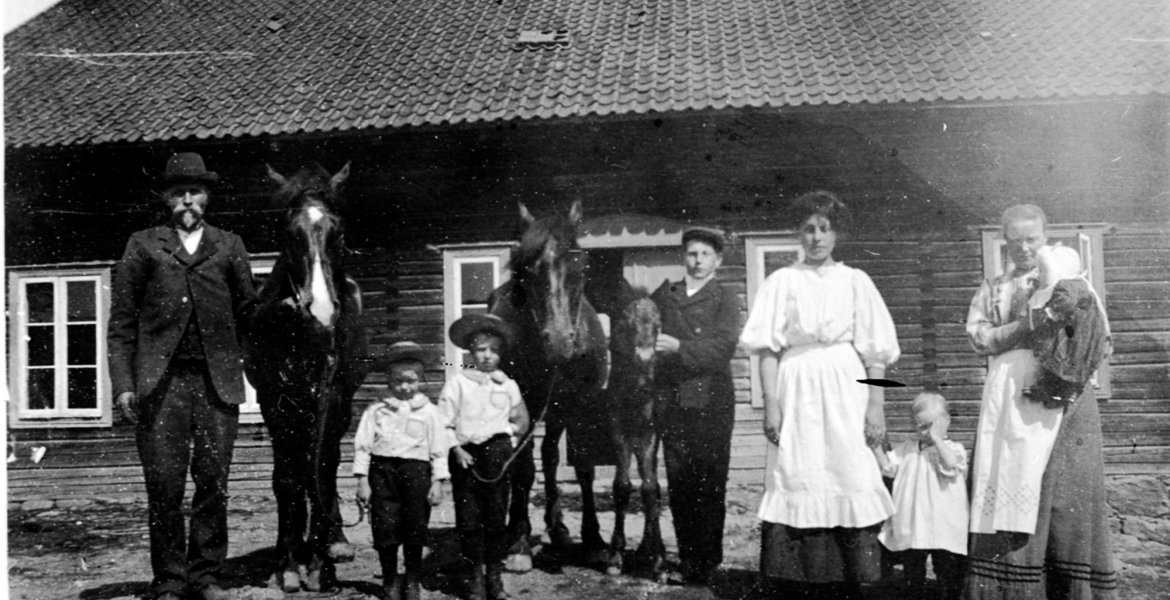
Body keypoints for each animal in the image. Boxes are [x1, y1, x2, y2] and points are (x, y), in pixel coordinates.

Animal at [245, 161, 369, 591]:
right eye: (288, 233)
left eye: (340, 232)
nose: (321, 312)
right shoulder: (274, 401)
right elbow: (286, 477)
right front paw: (288, 564)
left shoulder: (333, 396)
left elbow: (322, 469)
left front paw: (319, 564)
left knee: (324, 464)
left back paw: (333, 542)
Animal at [486, 199, 613, 566]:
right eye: (527, 270)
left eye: (581, 267)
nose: (558, 342)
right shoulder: (525, 403)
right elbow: (524, 469)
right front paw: (519, 542)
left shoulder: (581, 404)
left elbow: (583, 467)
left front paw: (594, 540)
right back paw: (513, 529)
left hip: (557, 410)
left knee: (551, 455)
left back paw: (557, 528)